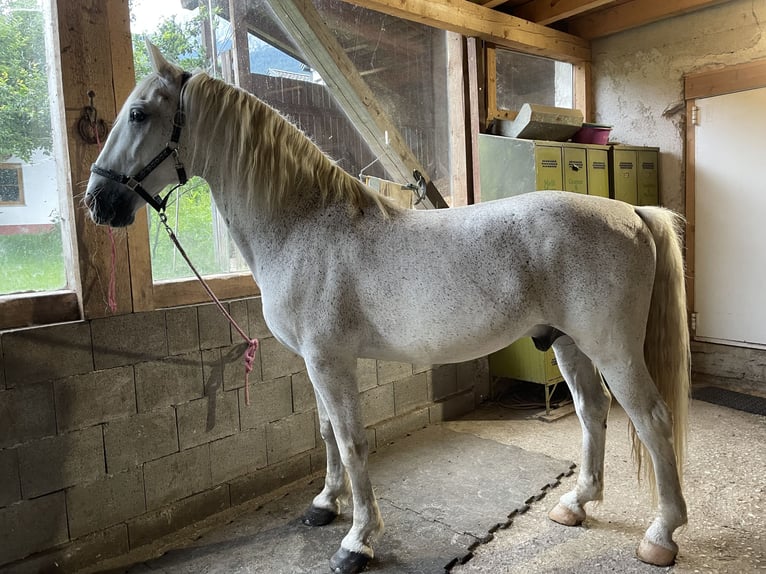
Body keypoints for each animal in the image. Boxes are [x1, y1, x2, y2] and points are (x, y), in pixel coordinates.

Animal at [87, 44, 692, 574]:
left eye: (139, 114)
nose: (98, 201)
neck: (303, 224)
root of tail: (631, 213)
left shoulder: (331, 361)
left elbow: (353, 442)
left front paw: (357, 541)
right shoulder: (315, 362)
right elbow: (327, 432)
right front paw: (324, 506)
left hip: (613, 349)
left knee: (652, 419)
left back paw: (661, 535)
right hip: (567, 344)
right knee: (593, 411)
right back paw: (576, 504)